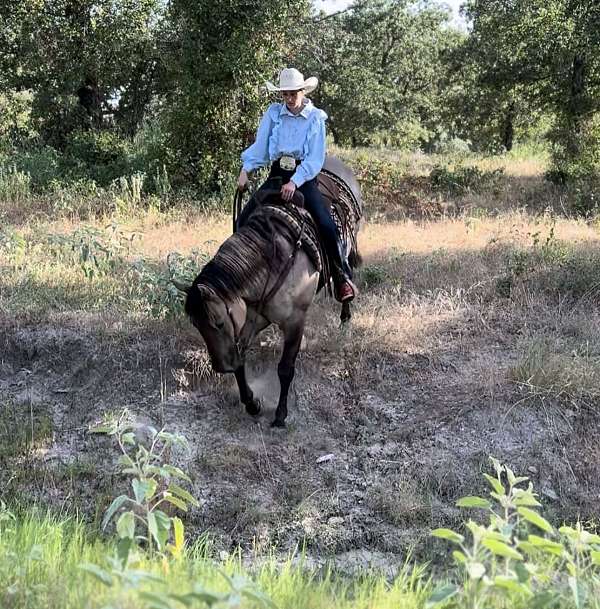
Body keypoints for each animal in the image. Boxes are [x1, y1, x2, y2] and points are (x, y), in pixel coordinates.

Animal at [178, 154, 364, 426]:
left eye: (218, 323)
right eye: (195, 325)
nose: (221, 367)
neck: (272, 260)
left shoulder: (295, 320)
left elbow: (285, 368)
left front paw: (280, 414)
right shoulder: (251, 318)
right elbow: (242, 361)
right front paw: (251, 403)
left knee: (346, 272)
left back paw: (345, 315)